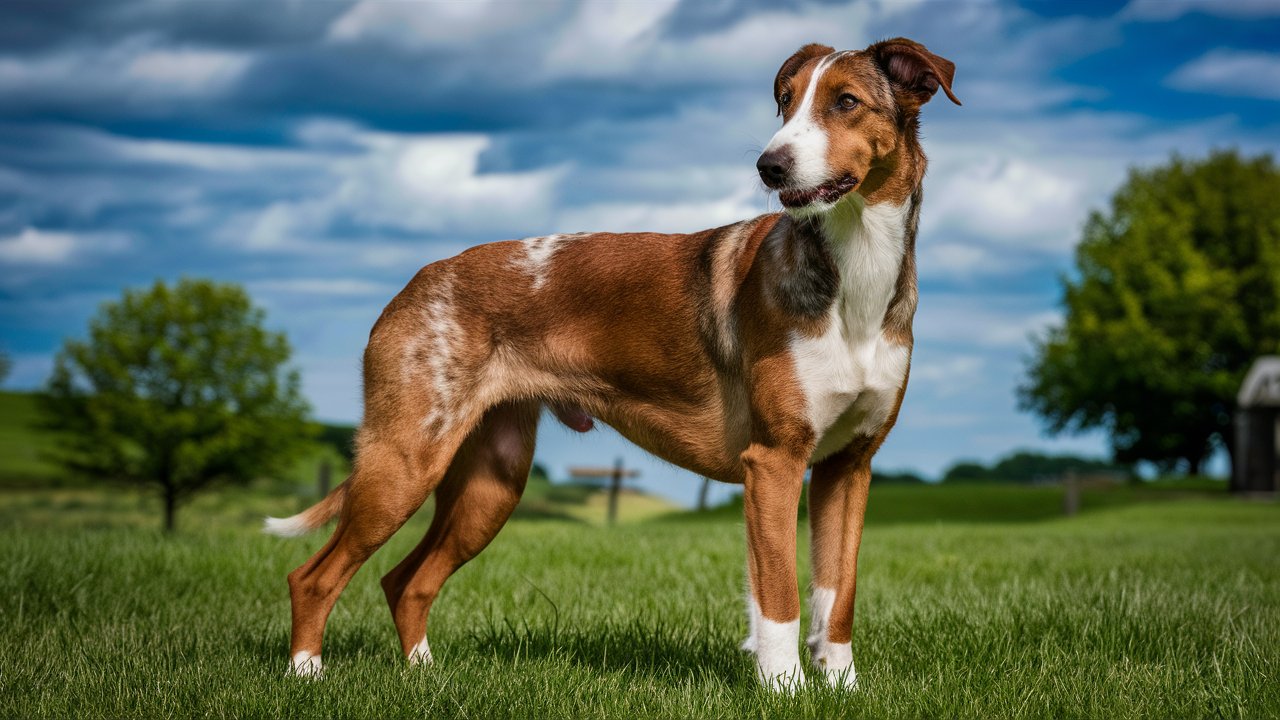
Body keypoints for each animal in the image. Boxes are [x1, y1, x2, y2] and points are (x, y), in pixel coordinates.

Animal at [264, 37, 957, 691]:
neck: (856, 276)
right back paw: (305, 676)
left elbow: (837, 597)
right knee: (312, 577)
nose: (769, 164)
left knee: (405, 582)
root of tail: (412, 285)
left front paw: (840, 688)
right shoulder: (775, 461)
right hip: (405, 462)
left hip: (490, 484)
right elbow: (780, 601)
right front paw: (784, 690)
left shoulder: (849, 466)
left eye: (846, 102)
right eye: (786, 102)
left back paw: (424, 675)